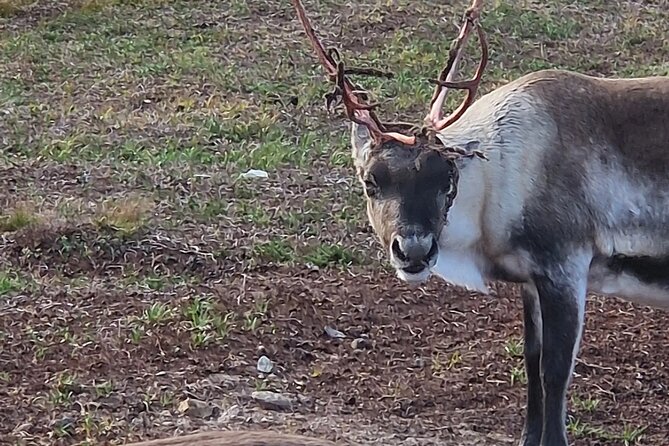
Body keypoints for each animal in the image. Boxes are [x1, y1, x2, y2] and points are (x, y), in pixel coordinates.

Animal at [291, 0, 669, 445]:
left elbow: (555, 372)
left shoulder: (565, 265)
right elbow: (532, 360)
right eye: (371, 182)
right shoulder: (530, 279)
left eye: (446, 180)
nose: (414, 250)